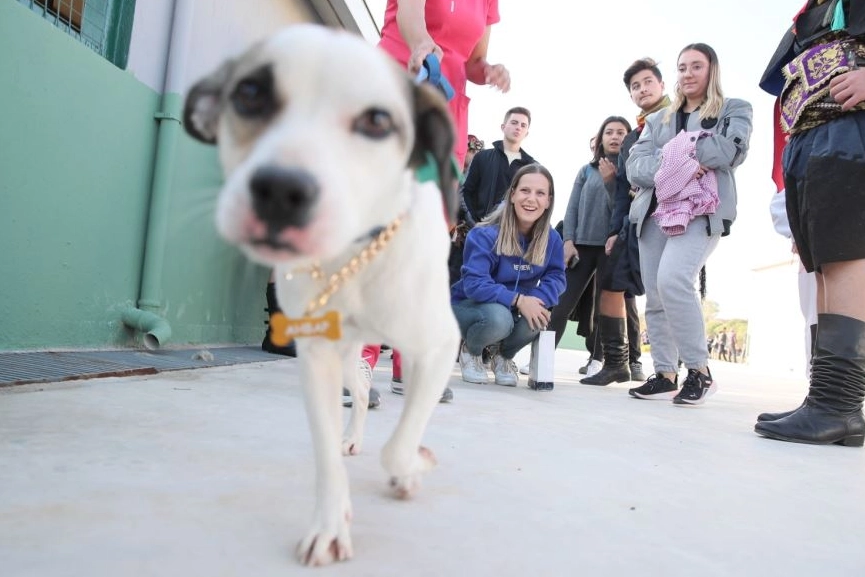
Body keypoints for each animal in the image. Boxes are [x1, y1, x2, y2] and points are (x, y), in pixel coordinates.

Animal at [182, 24, 462, 564]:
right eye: (249, 93)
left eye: (377, 120)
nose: (279, 191)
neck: (350, 260)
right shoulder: (316, 359)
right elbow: (328, 455)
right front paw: (330, 525)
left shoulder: (441, 346)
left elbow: (400, 445)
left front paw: (412, 468)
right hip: (350, 357)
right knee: (360, 393)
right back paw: (353, 435)